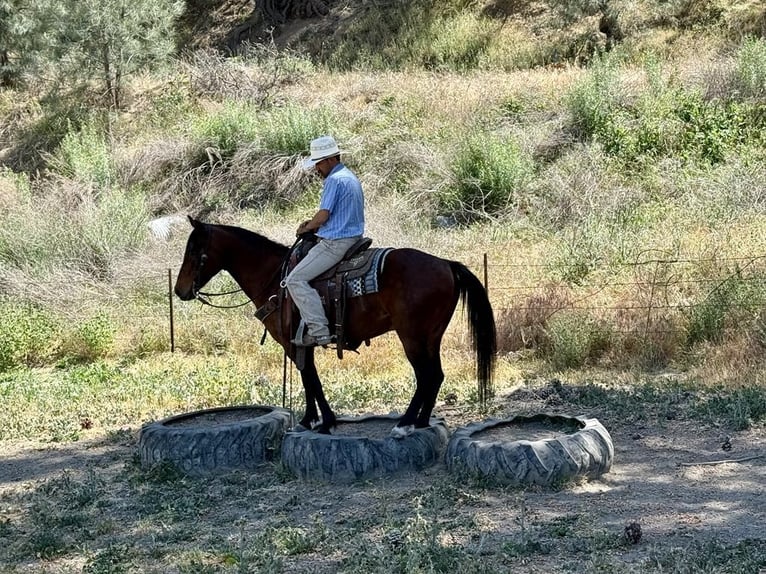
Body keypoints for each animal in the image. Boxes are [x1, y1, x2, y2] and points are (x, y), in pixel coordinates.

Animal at [174, 217, 497, 437]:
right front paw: (309, 420)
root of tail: (446, 263)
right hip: (431, 337)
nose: (179, 290)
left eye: (193, 252)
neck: (276, 278)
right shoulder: (301, 345)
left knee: (425, 376)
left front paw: (324, 422)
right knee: (436, 376)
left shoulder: (293, 342)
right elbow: (309, 380)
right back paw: (421, 421)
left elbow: (311, 381)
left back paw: (405, 424)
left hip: (412, 337)